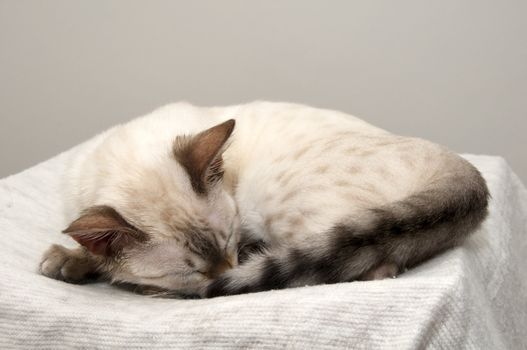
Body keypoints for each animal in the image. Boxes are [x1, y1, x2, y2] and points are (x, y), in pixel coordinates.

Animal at [39, 102, 488, 298]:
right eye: (191, 270)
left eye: (230, 242)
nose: (221, 276)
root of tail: (456, 163)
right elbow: (86, 250)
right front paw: (68, 261)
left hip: (271, 196)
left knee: (368, 268)